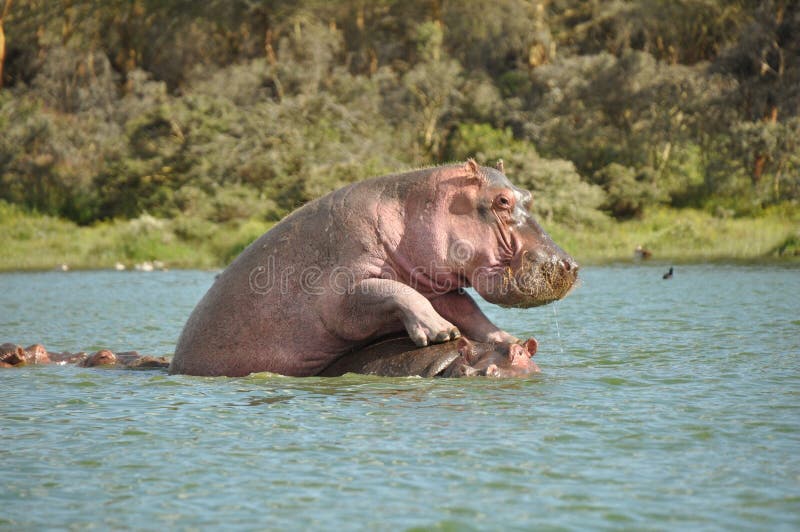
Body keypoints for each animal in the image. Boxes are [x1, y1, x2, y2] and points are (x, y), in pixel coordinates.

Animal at [172, 160, 580, 376]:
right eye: (501, 200)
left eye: (528, 196)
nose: (569, 263)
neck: (415, 208)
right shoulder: (344, 290)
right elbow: (391, 291)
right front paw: (441, 333)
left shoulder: (440, 287)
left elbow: (470, 312)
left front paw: (507, 338)